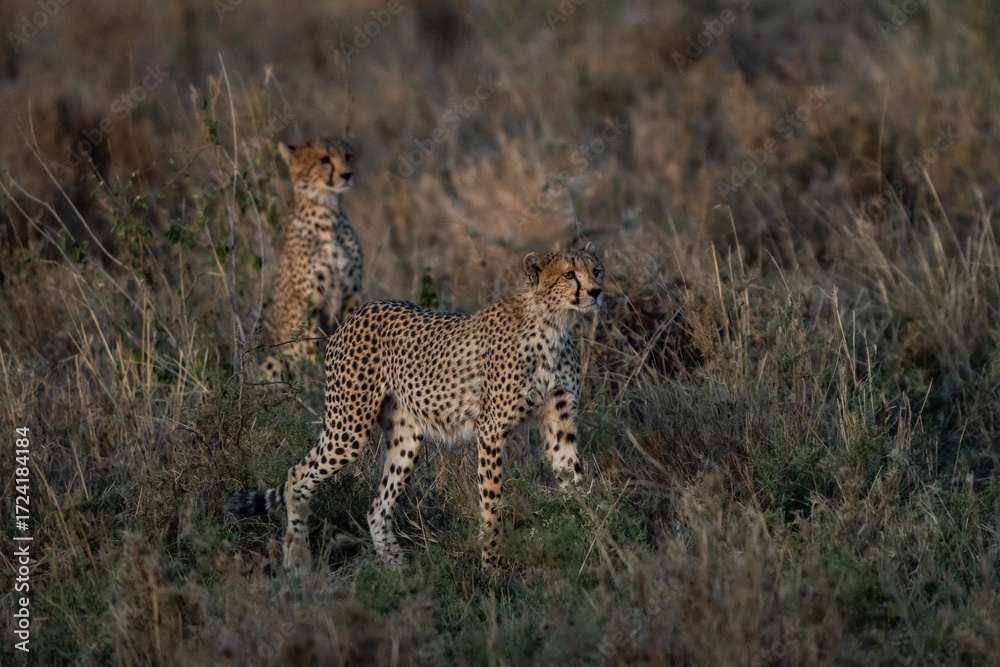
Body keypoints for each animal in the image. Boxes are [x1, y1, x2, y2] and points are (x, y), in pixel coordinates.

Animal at [228, 243, 605, 572]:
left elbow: (575, 482)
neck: (554, 324)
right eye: (569, 274)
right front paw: (493, 568)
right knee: (297, 475)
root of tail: (356, 314)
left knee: (376, 508)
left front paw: (594, 542)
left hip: (406, 437)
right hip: (349, 427)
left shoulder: (559, 423)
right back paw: (297, 560)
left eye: (597, 270)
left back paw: (398, 571)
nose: (597, 292)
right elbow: (493, 502)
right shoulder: (492, 429)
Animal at [261, 138, 363, 380]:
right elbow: (311, 344)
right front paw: (316, 375)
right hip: (273, 360)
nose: (347, 175)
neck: (328, 214)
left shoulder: (352, 291)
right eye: (324, 160)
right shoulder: (311, 301)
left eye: (348, 156)